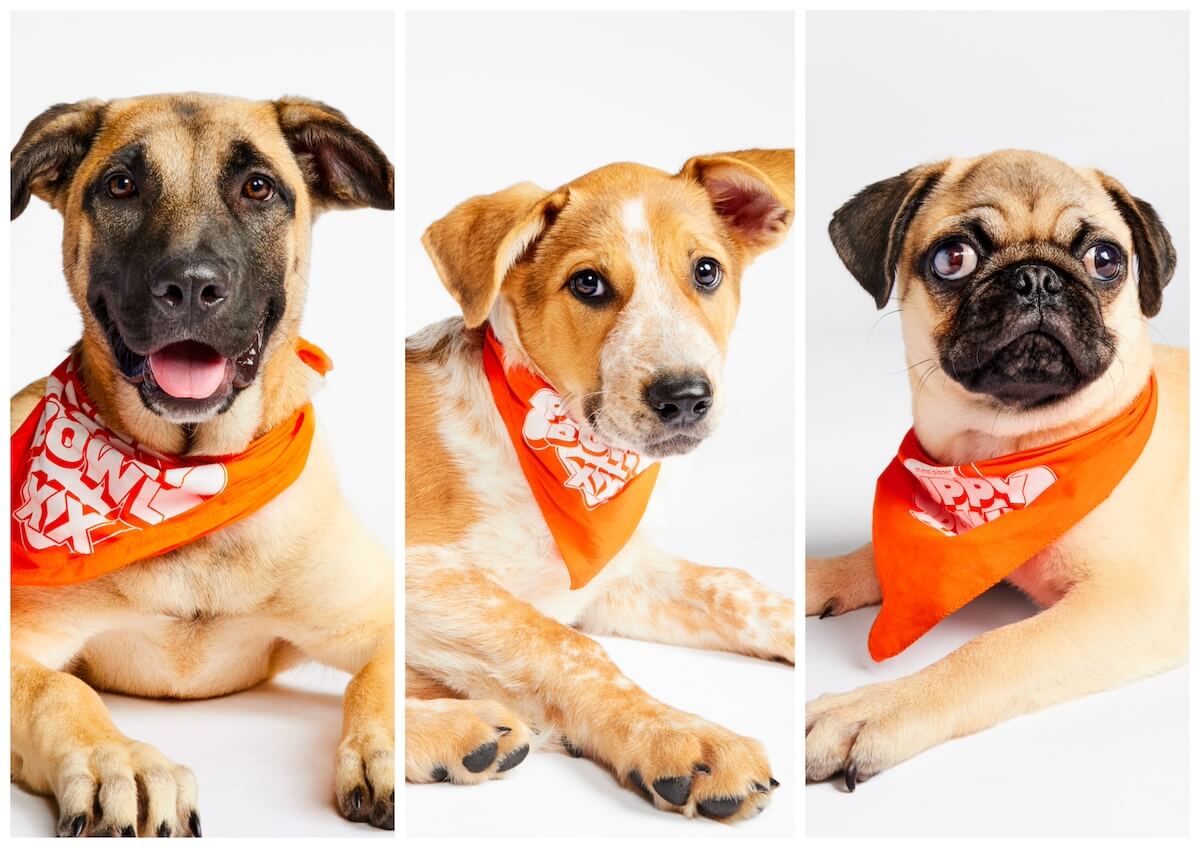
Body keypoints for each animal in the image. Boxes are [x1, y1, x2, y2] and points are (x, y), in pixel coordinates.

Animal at [10, 92, 393, 834]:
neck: (194, 481)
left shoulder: (382, 609)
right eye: (121, 185)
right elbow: (57, 689)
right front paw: (121, 762)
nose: (189, 287)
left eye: (258, 187)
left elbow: (384, 675)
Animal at [410, 147, 796, 820]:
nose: (684, 397)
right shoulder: (421, 571)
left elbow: (734, 586)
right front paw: (683, 737)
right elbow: (567, 648)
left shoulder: (608, 578)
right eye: (587, 283)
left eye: (706, 271)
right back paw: (456, 730)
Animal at [806, 151, 1190, 791]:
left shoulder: (1137, 602)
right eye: (953, 258)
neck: (1004, 452)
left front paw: (871, 709)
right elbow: (871, 556)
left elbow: (989, 652)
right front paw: (817, 576)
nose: (1037, 278)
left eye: (1104, 260)